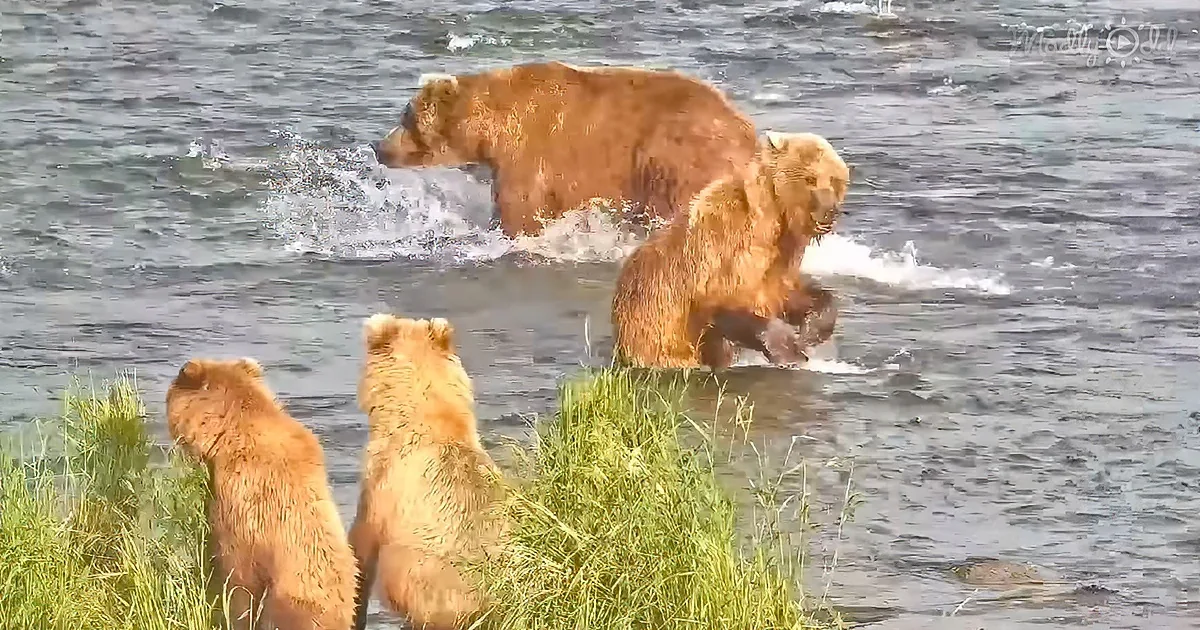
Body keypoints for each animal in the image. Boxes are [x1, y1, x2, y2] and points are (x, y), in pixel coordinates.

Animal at [371, 60, 759, 238]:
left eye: (406, 118)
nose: (379, 146)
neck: (490, 131)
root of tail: (747, 130)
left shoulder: (530, 153)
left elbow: (520, 210)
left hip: (675, 156)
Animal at [609, 130, 850, 370]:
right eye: (810, 179)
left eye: (835, 179)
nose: (830, 211)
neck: (774, 221)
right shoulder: (726, 246)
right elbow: (723, 300)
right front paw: (790, 350)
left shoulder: (783, 256)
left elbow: (790, 293)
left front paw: (811, 332)